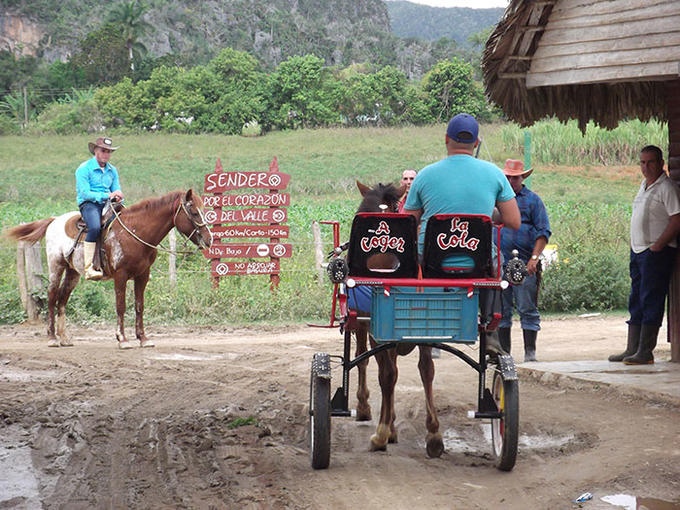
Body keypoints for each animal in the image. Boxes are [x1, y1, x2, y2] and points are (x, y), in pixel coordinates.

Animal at [5, 189, 213, 349]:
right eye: (194, 213)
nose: (209, 239)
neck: (136, 231)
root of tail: (55, 220)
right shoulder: (121, 276)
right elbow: (121, 306)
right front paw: (122, 339)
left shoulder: (143, 276)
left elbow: (139, 306)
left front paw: (143, 338)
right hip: (56, 266)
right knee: (52, 295)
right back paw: (52, 338)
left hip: (73, 272)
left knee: (62, 298)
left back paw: (64, 338)